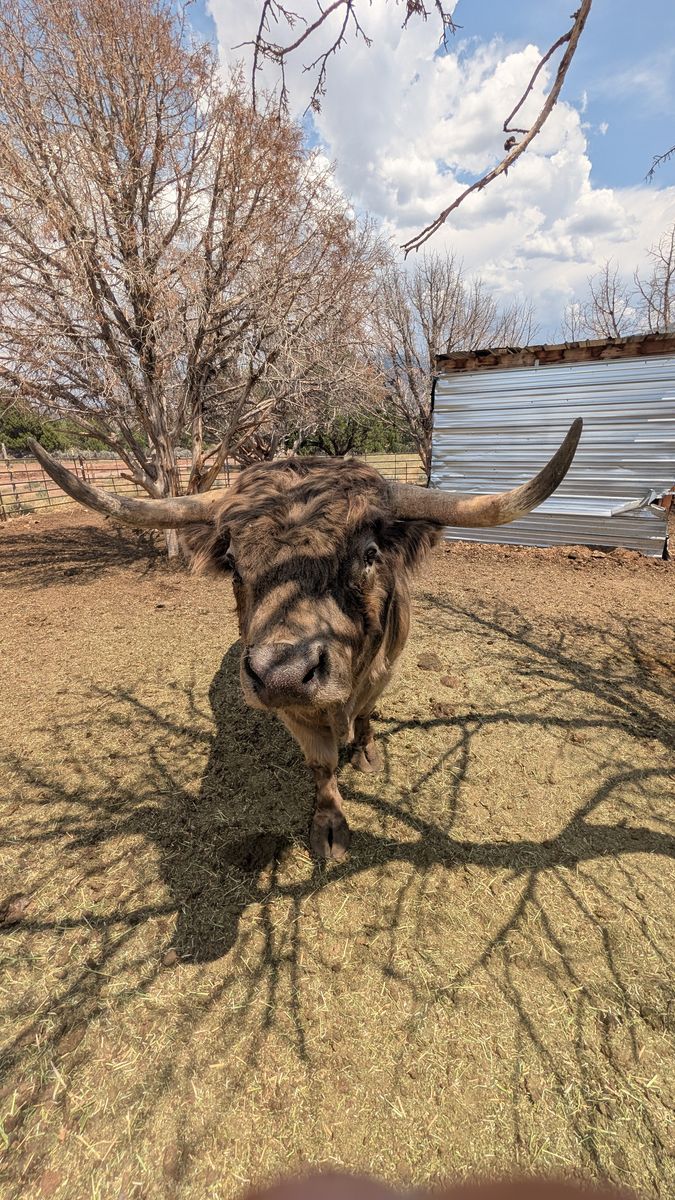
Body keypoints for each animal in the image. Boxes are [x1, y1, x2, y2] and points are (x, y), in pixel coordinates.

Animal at [29, 420, 582, 860]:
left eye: (369, 553)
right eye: (233, 562)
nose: (284, 674)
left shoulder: (384, 671)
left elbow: (365, 714)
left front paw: (367, 752)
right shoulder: (293, 709)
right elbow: (321, 763)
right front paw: (330, 824)